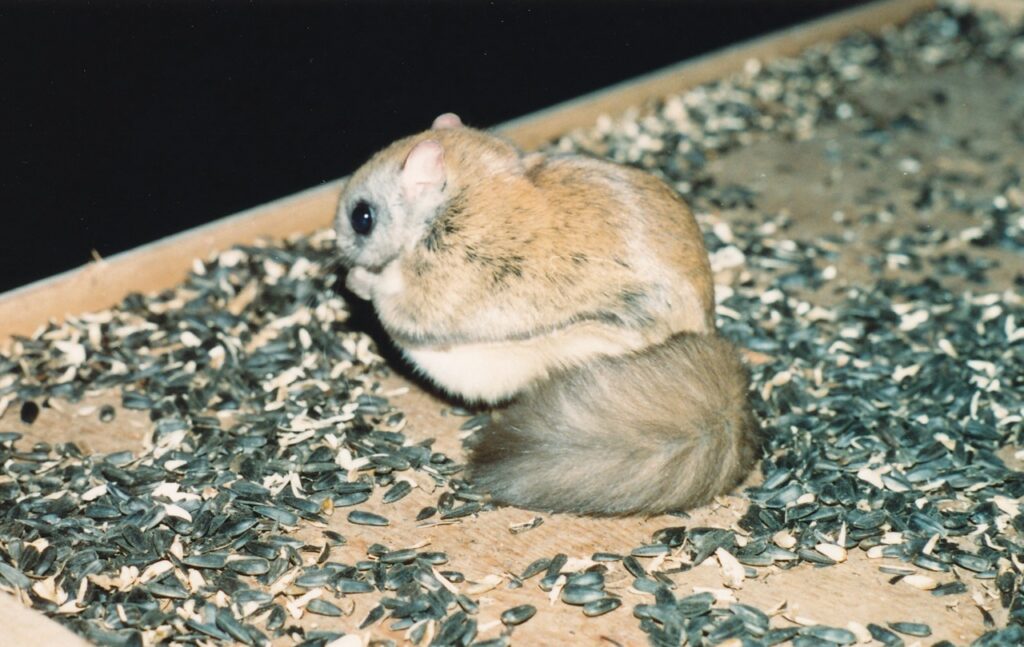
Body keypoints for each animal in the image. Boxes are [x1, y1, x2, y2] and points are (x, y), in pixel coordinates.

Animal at [333, 113, 760, 516]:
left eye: (362, 217)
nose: (337, 246)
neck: (454, 200)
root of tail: (705, 334)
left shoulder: (444, 280)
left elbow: (395, 303)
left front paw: (360, 280)